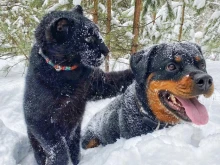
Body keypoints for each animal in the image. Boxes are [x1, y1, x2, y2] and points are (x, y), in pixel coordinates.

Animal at [23, 5, 133, 165]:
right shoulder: (39, 120)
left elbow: (120, 78)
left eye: (98, 33)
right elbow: (58, 147)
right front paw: (60, 159)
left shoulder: (97, 84)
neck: (68, 74)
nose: (106, 50)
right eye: (88, 37)